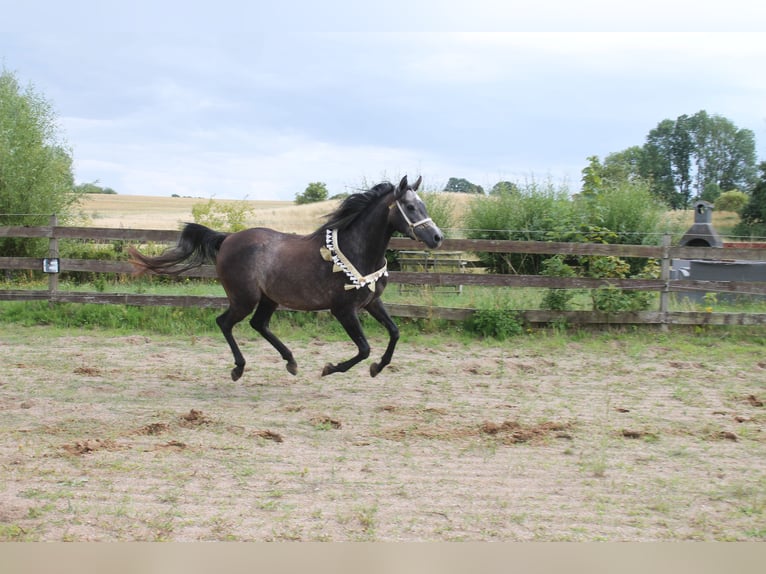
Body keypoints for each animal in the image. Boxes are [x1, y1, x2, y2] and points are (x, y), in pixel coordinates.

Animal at [129, 175, 444, 380]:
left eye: (424, 206)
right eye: (411, 207)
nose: (437, 237)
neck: (358, 250)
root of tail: (228, 238)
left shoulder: (372, 303)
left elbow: (395, 332)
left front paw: (377, 368)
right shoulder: (343, 310)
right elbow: (364, 348)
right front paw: (330, 368)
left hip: (268, 298)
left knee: (258, 324)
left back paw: (290, 361)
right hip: (244, 298)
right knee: (225, 322)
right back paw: (239, 368)